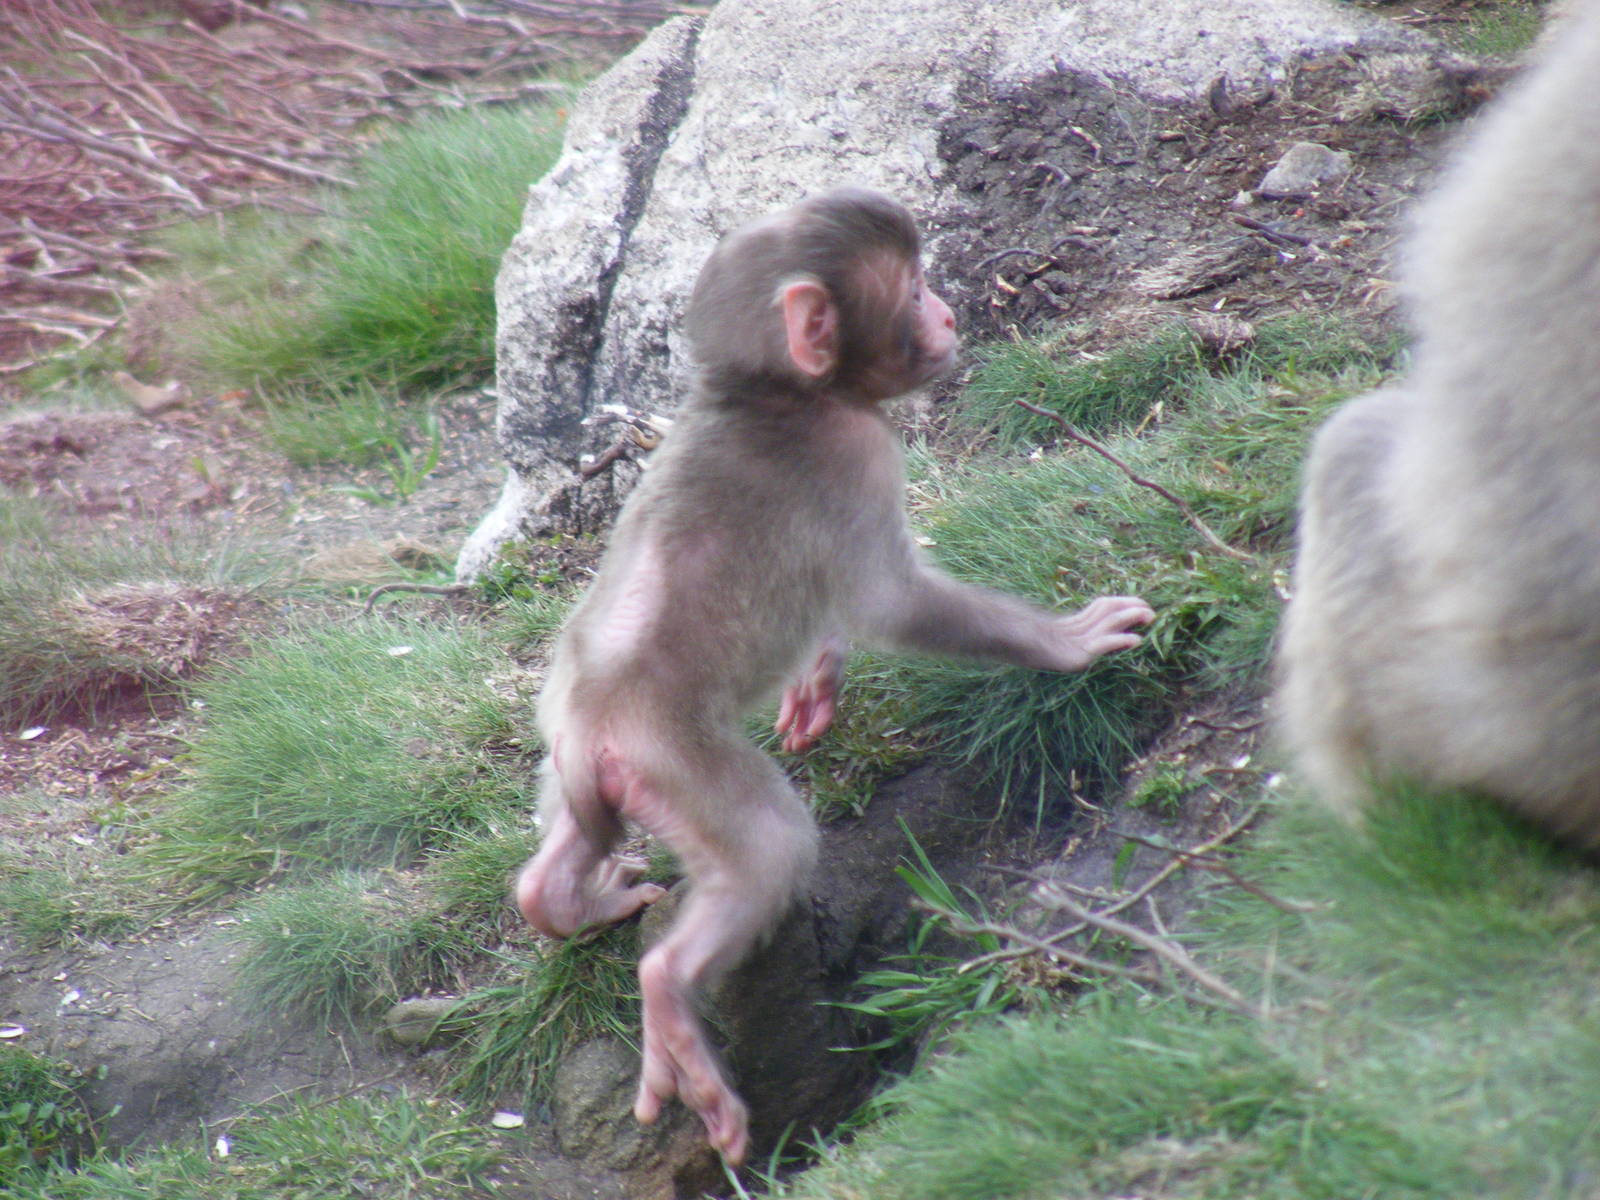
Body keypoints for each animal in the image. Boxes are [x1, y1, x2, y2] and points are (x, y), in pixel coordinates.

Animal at [513, 187, 1155, 1164]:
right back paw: (669, 988)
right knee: (766, 843)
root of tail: (593, 724)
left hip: (569, 753)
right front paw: (1066, 644)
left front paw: (816, 681)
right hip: (673, 758)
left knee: (564, 847)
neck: (765, 399)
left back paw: (560, 897)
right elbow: (891, 603)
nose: (948, 312)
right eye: (916, 288)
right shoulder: (855, 456)